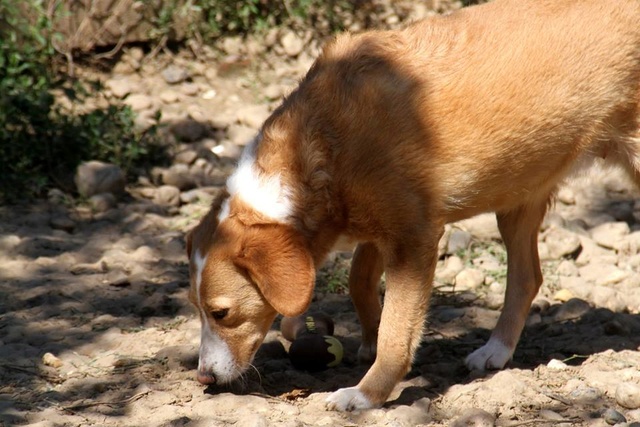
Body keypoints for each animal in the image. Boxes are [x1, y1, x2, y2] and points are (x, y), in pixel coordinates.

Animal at [185, 0, 640, 412]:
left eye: (221, 313)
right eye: (196, 310)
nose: (204, 378)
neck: (319, 146)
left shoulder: (413, 239)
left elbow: (397, 328)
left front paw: (368, 392)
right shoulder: (378, 228)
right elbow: (359, 282)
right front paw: (368, 339)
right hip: (518, 198)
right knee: (527, 277)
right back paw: (496, 350)